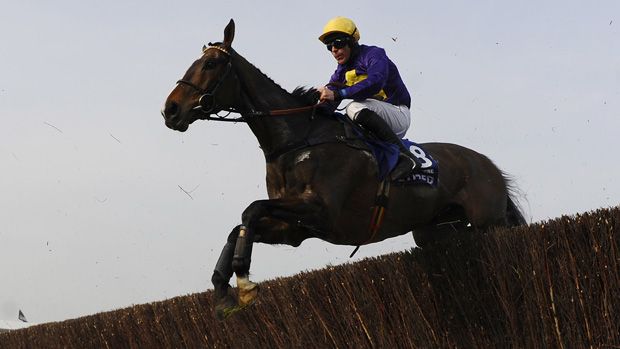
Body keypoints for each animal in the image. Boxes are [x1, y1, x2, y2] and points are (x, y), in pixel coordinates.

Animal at [162, 18, 524, 318]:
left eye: (210, 63)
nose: (170, 109)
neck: (298, 140)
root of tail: (488, 165)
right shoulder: (294, 229)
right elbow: (240, 224)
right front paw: (223, 291)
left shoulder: (321, 211)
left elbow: (250, 210)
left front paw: (244, 281)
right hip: (432, 231)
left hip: (489, 223)